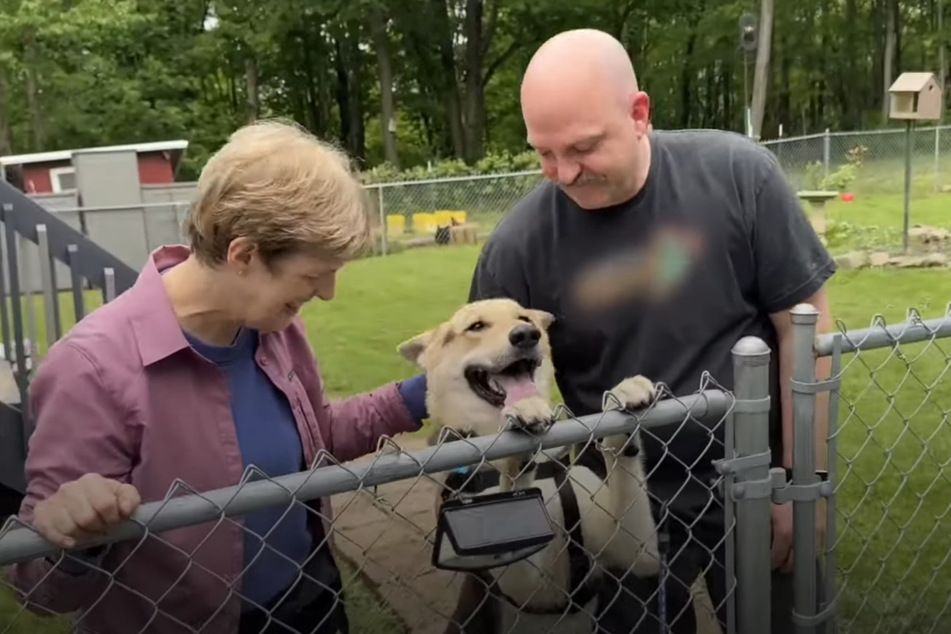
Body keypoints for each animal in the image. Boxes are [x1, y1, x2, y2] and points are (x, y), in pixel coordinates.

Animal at [398, 298, 660, 632]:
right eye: (476, 326)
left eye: (524, 319)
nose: (525, 335)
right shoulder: (520, 584)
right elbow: (513, 488)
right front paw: (523, 417)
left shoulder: (637, 551)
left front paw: (624, 394)